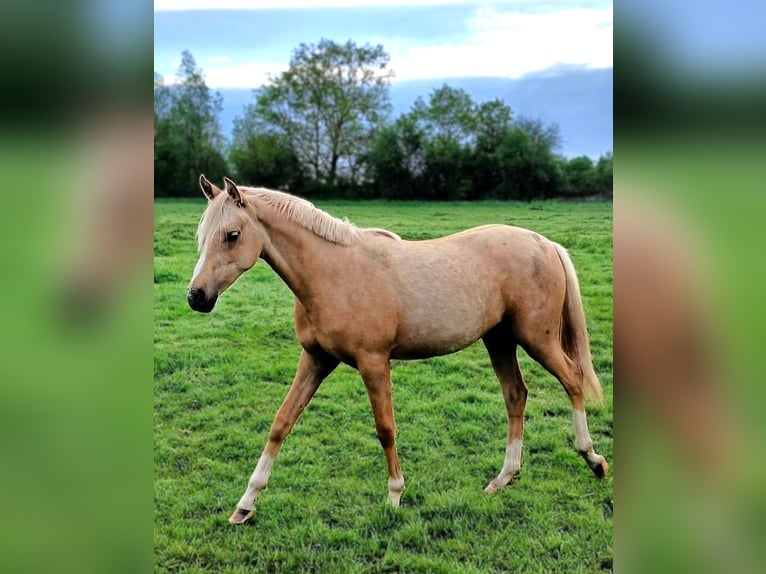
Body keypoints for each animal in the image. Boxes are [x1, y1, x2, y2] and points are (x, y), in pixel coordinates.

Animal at [188, 175, 608, 525]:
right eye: (201, 235)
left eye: (231, 234)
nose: (197, 297)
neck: (332, 274)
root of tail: (544, 243)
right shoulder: (316, 359)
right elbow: (281, 423)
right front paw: (246, 504)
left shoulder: (374, 363)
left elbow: (385, 428)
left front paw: (394, 495)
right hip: (500, 339)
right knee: (516, 394)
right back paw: (504, 478)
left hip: (537, 338)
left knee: (572, 380)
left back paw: (593, 459)